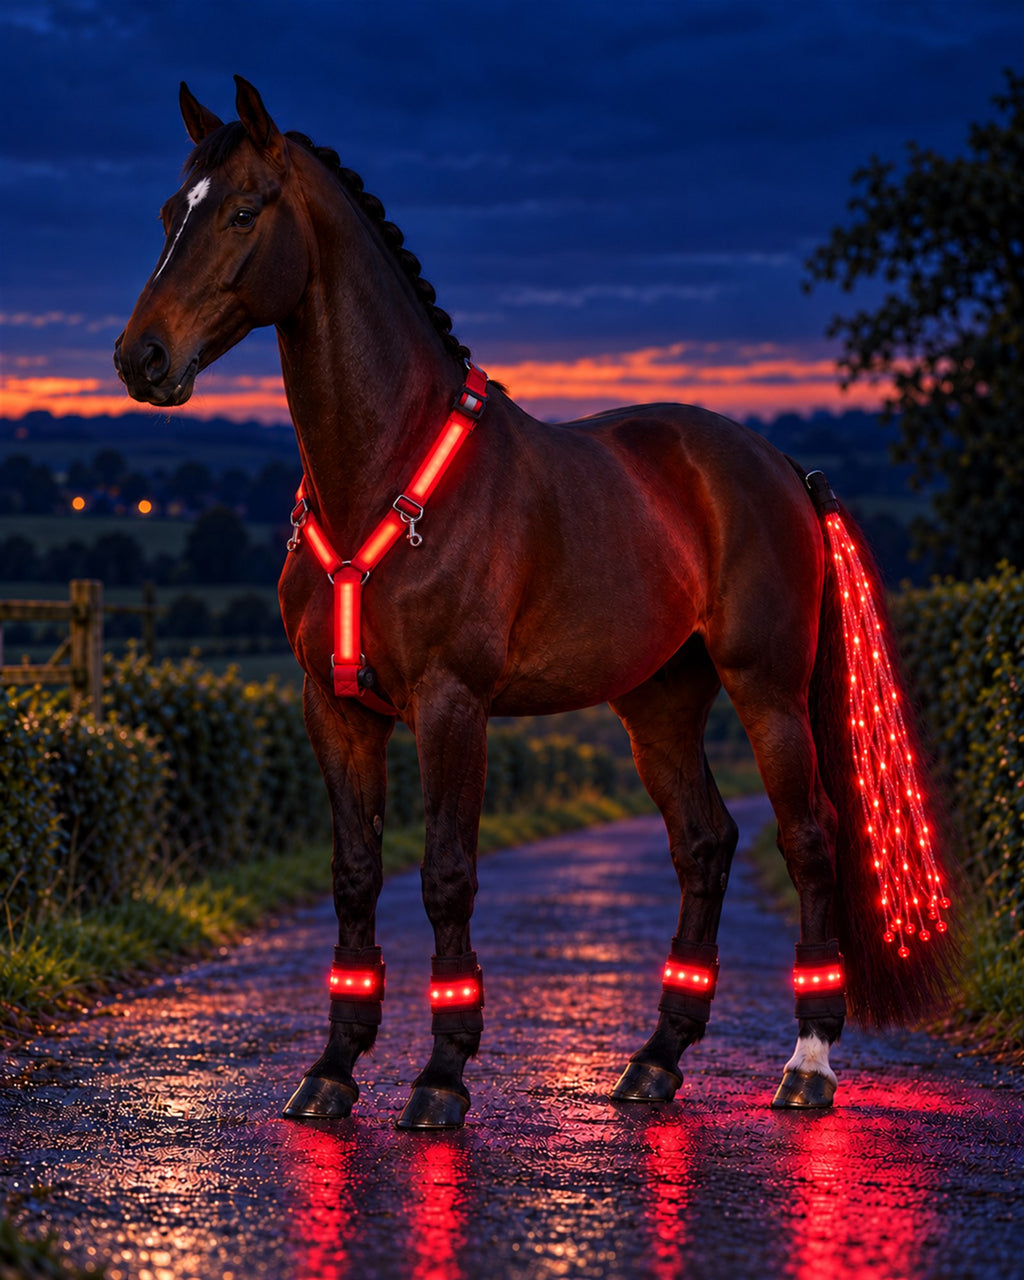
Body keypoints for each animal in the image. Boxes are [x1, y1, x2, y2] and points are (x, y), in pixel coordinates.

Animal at [115, 77, 955, 1129]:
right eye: (164, 214)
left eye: (240, 210)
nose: (140, 358)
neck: (384, 471)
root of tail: (781, 468)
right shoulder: (335, 710)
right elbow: (355, 876)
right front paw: (334, 1069)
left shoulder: (452, 704)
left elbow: (445, 875)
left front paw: (441, 1076)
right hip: (659, 703)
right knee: (705, 843)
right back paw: (655, 1060)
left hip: (768, 690)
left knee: (809, 839)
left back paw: (808, 1064)